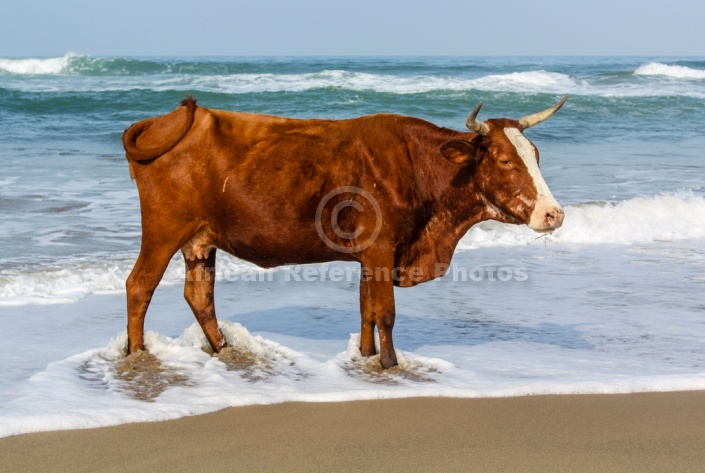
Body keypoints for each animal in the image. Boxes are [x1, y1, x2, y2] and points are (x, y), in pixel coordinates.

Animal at [122, 95, 568, 368]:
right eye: (506, 160)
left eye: (536, 155)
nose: (553, 214)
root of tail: (167, 119)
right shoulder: (382, 248)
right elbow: (384, 311)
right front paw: (390, 364)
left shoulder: (372, 255)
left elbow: (366, 308)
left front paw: (367, 359)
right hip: (164, 229)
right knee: (140, 285)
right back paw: (138, 354)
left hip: (200, 240)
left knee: (199, 295)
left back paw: (224, 350)